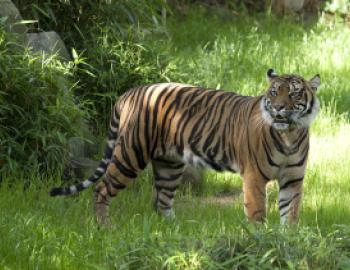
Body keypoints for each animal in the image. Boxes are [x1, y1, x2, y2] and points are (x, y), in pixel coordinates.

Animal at [50, 68, 322, 225]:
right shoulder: (254, 178)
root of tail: (130, 92)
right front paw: (260, 240)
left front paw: (286, 242)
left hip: (169, 165)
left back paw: (175, 232)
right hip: (130, 154)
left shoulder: (293, 179)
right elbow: (257, 213)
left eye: (294, 94)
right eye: (274, 92)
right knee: (102, 188)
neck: (289, 135)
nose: (277, 108)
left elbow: (291, 214)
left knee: (162, 202)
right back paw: (104, 226)